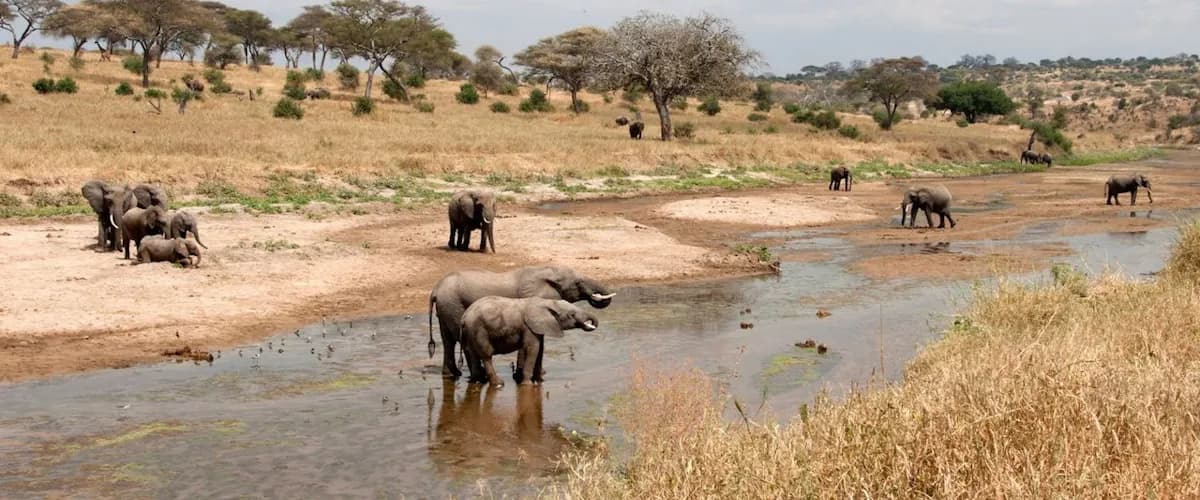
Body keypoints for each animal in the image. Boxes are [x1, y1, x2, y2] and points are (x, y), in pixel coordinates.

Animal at [460, 297, 598, 386]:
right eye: (572, 314)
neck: (547, 302)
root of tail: (464, 317)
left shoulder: (538, 327)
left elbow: (540, 349)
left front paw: (540, 382)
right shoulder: (528, 327)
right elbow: (533, 349)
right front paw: (528, 385)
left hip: (471, 332)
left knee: (473, 354)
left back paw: (477, 382)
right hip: (479, 330)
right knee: (486, 355)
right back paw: (498, 384)